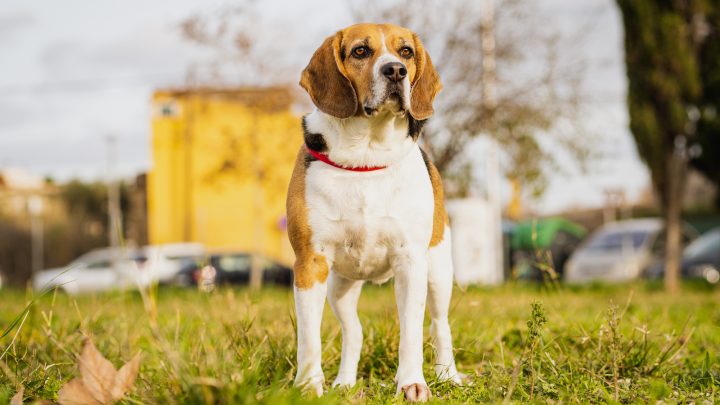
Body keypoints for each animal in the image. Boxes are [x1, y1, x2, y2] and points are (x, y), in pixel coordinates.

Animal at [286, 22, 462, 400]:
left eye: (406, 51)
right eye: (360, 51)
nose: (395, 70)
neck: (366, 152)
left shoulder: (411, 262)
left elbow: (411, 332)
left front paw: (411, 383)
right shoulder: (310, 263)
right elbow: (309, 337)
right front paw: (308, 386)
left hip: (439, 271)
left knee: (440, 325)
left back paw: (449, 375)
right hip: (340, 287)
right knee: (353, 332)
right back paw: (344, 382)